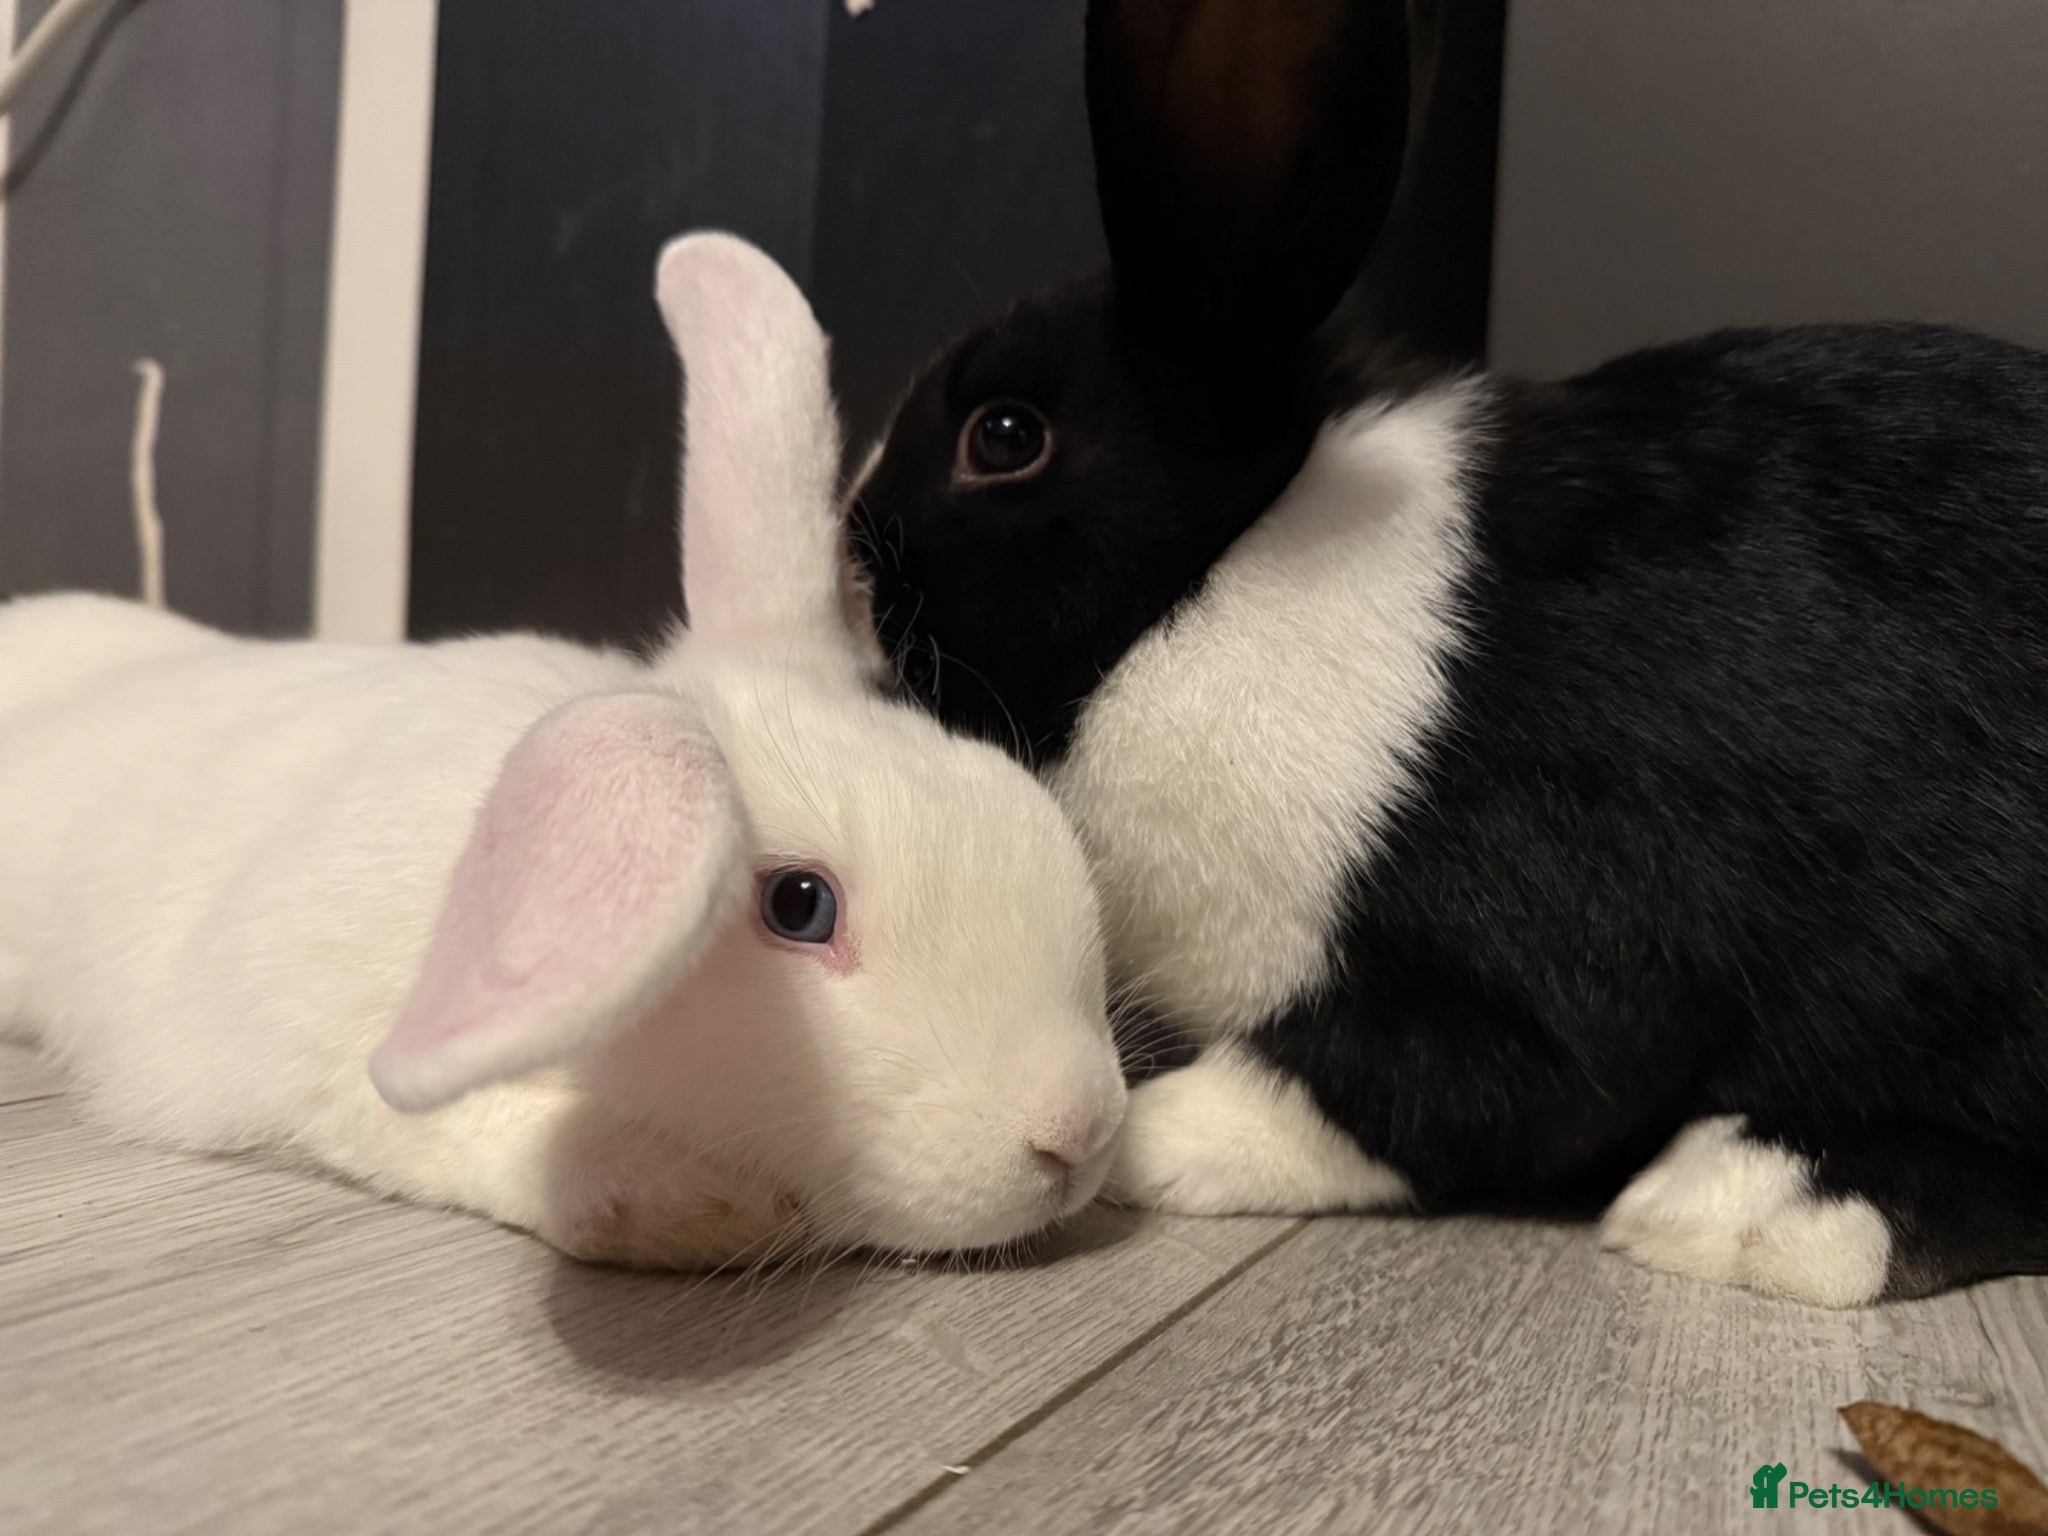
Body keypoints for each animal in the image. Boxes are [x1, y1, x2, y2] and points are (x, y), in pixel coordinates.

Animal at [843, 0, 2048, 1304]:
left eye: (1004, 435)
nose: (844, 570)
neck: (1214, 580)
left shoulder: (1515, 960)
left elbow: (1396, 1094)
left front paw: (1152, 1134)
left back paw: (1754, 1203)